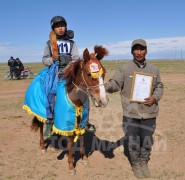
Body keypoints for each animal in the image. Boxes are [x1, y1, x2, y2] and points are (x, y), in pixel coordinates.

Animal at [30, 45, 108, 174]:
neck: (75, 97)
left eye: (104, 73)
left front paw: (84, 159)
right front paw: (71, 166)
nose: (103, 101)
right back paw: (42, 147)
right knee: (41, 126)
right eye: (89, 74)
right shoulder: (67, 121)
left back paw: (54, 146)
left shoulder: (81, 120)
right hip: (40, 112)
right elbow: (71, 142)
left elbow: (81, 138)